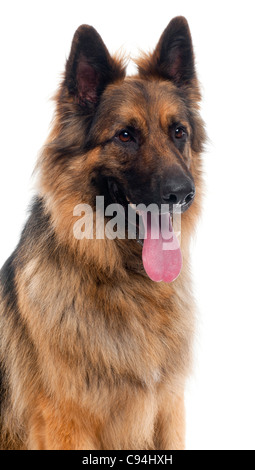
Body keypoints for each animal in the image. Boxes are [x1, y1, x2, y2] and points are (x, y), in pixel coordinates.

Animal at [0, 16, 205, 450]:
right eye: (125, 135)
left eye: (178, 132)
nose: (183, 194)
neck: (127, 282)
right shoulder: (66, 422)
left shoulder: (168, 409)